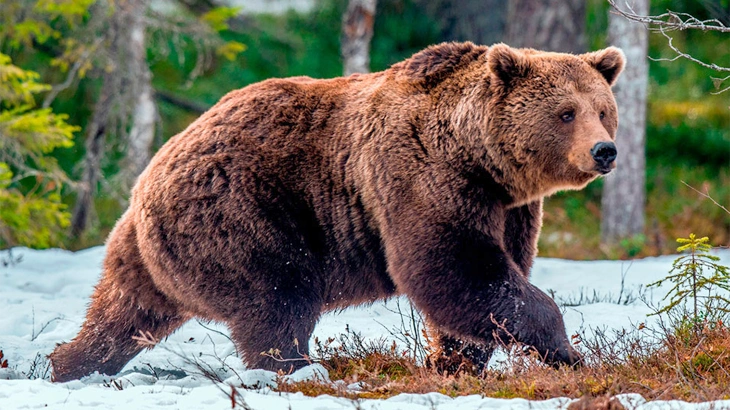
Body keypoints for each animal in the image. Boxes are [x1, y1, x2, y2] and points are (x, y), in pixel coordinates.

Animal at [50, 42, 624, 382]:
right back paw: (298, 369)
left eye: (603, 110)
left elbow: (488, 279)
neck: (479, 157)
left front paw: (455, 361)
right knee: (278, 296)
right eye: (566, 112)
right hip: (244, 212)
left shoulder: (510, 208)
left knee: (123, 311)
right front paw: (567, 350)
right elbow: (454, 268)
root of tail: (153, 169)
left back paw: (67, 364)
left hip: (147, 249)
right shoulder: (421, 178)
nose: (605, 151)